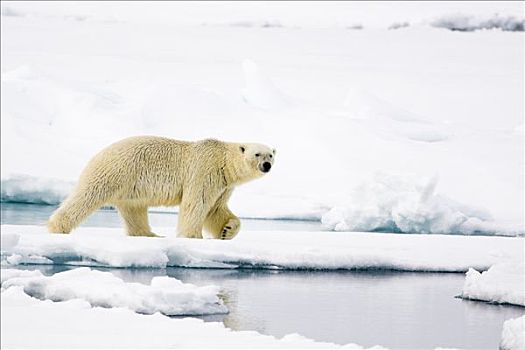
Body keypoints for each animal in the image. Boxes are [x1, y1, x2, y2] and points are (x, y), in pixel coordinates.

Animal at [47, 138, 274, 239]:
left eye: (271, 154)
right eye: (257, 154)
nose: (266, 165)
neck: (223, 161)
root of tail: (99, 152)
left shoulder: (223, 184)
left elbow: (215, 209)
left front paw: (227, 230)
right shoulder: (204, 171)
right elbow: (197, 204)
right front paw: (193, 237)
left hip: (130, 187)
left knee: (134, 210)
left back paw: (149, 234)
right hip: (115, 171)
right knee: (87, 195)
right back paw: (58, 226)